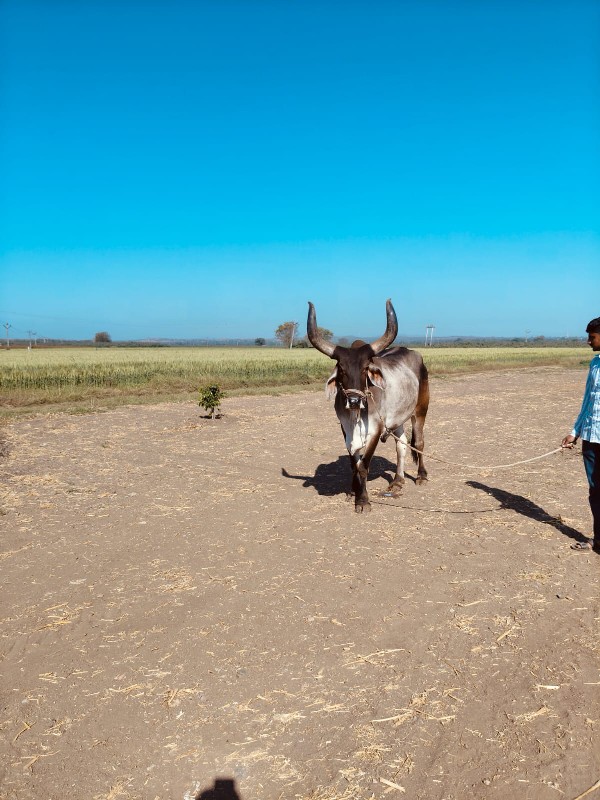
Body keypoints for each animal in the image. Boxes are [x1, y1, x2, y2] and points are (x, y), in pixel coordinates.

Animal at [308, 298, 428, 512]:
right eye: (342, 369)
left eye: (365, 368)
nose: (354, 401)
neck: (355, 415)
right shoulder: (345, 428)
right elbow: (354, 465)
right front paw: (354, 490)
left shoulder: (375, 430)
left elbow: (363, 466)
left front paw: (363, 501)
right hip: (397, 419)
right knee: (401, 444)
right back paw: (397, 480)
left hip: (420, 411)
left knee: (419, 442)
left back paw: (421, 476)